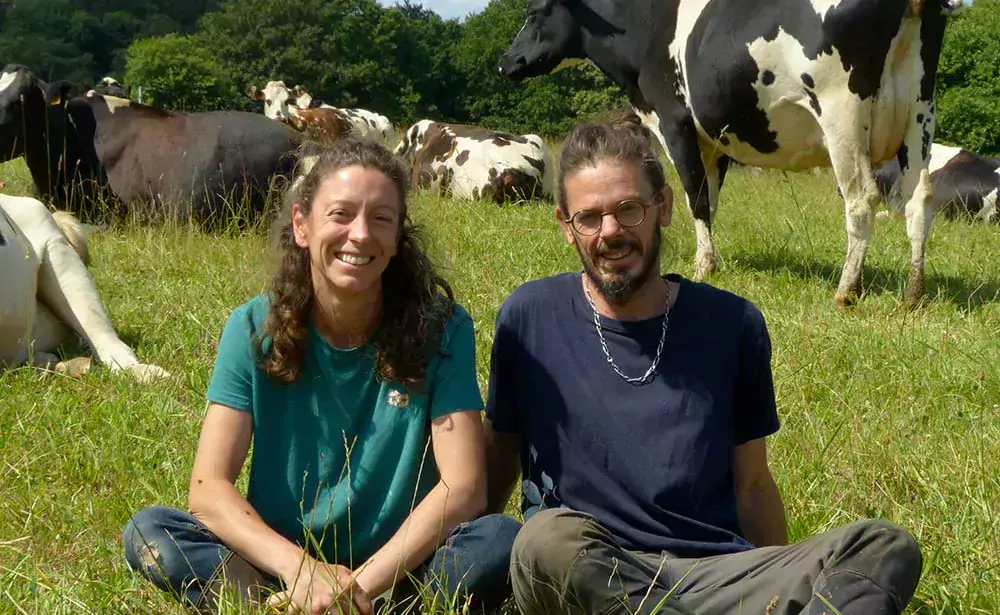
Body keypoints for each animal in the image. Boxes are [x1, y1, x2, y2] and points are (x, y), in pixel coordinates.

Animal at [498, 0, 960, 308]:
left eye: (536, 11)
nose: (505, 61)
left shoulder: (675, 123)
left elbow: (694, 198)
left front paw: (704, 266)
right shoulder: (715, 140)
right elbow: (710, 200)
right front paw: (712, 258)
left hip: (841, 110)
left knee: (862, 198)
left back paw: (846, 290)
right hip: (921, 109)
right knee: (919, 199)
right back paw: (913, 292)